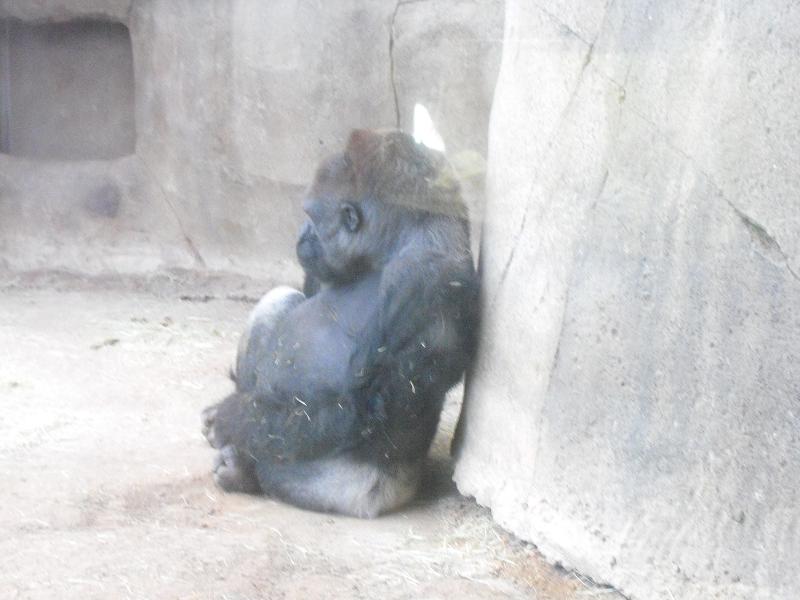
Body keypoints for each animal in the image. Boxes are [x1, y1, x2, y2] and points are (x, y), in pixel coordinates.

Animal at [201, 129, 478, 518]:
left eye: (311, 215)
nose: (299, 234)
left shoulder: (427, 280)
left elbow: (367, 403)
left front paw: (229, 418)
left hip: (342, 493)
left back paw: (241, 468)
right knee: (278, 301)